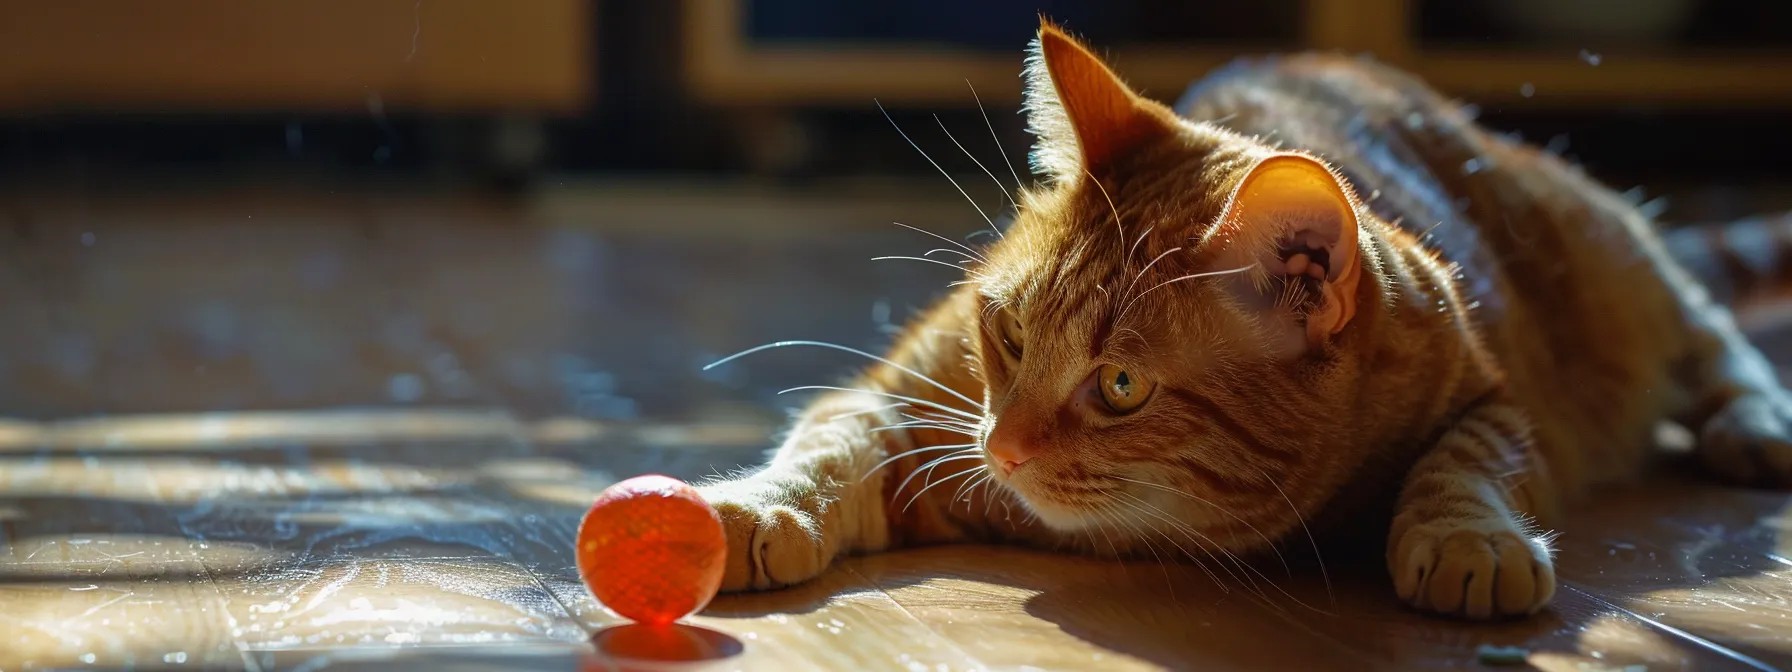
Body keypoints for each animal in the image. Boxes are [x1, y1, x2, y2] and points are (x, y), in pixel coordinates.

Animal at [695, 21, 1792, 620]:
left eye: (1121, 387)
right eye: (1006, 336)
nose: (1002, 452)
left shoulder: (1493, 396)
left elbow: (1470, 458)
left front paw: (1466, 537)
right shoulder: (902, 402)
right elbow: (830, 442)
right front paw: (758, 505)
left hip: (1610, 261)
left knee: (1707, 330)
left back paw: (1756, 424)